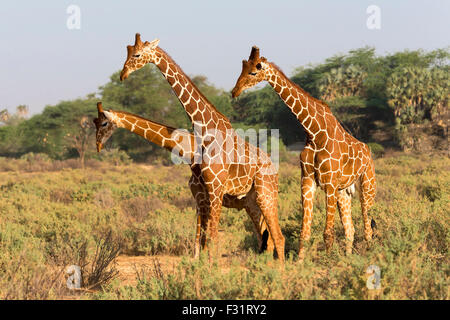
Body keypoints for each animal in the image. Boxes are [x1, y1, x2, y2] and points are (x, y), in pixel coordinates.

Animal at [117, 34, 284, 260]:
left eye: (137, 54)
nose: (122, 74)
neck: (205, 130)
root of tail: (274, 168)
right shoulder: (203, 194)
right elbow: (203, 239)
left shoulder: (214, 189)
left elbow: (212, 238)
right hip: (252, 202)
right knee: (266, 239)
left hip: (266, 194)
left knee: (278, 237)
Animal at [232, 45, 376, 260]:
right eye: (242, 69)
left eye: (253, 72)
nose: (234, 92)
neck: (314, 132)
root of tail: (368, 152)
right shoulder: (308, 180)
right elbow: (304, 231)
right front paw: (300, 261)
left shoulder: (329, 183)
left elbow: (328, 232)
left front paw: (327, 261)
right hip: (344, 190)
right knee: (350, 229)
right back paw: (349, 257)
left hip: (367, 183)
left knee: (368, 226)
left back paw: (367, 255)